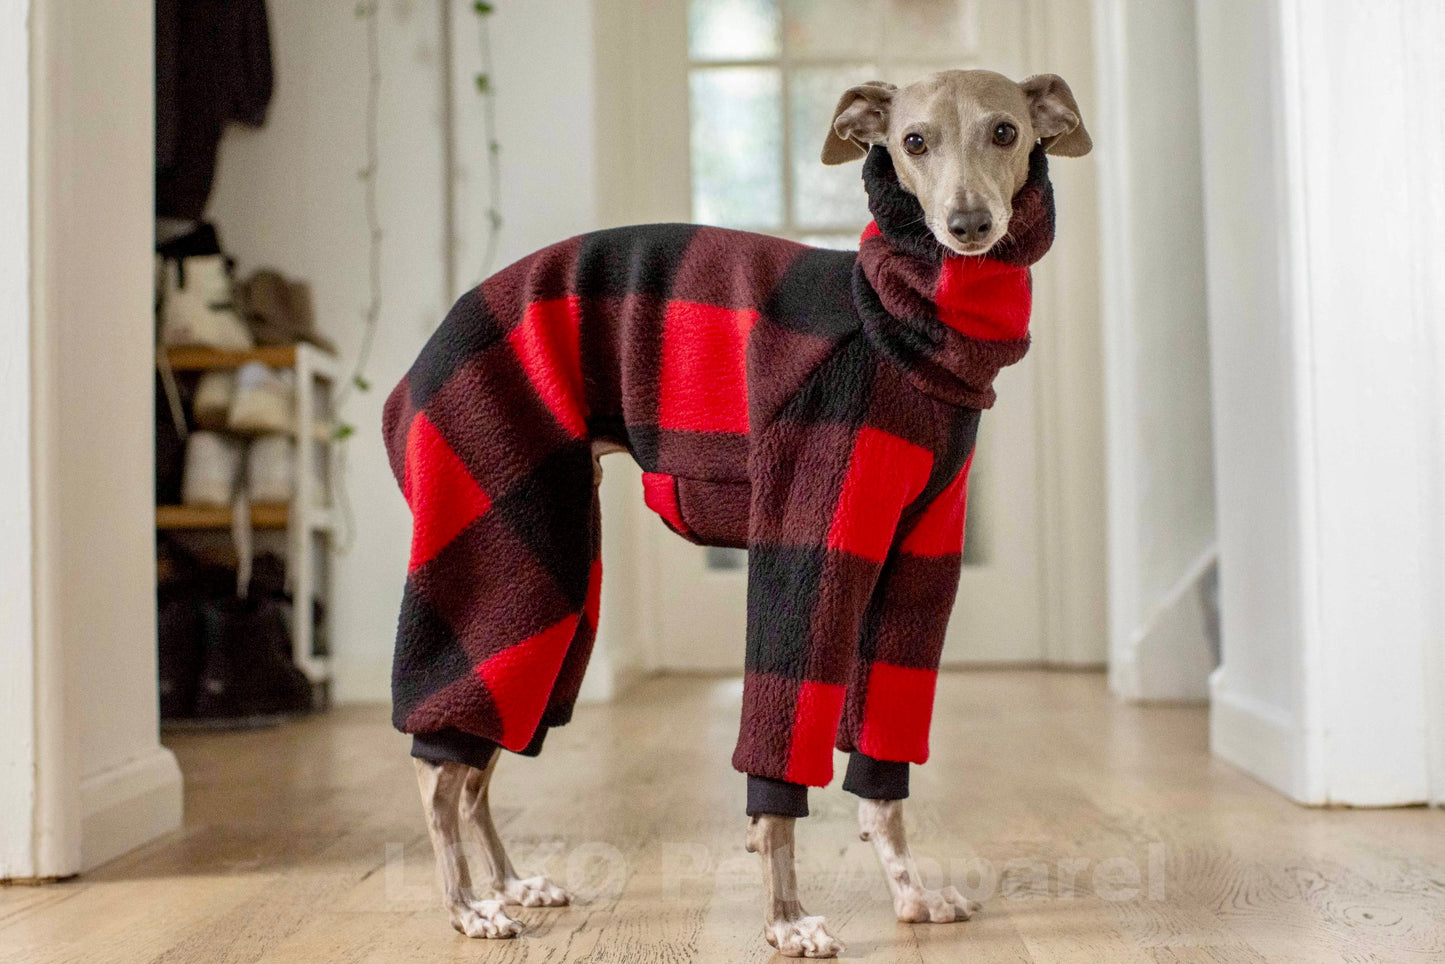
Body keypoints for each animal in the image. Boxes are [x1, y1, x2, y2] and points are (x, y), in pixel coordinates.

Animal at [378, 67, 1086, 959]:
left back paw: (512, 884)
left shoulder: (916, 562)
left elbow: (882, 772)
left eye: (1004, 131)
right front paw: (784, 918)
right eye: (913, 141)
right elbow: (780, 749)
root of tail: (414, 370)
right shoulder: (808, 532)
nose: (966, 225)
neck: (898, 326)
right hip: (504, 545)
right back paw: (467, 905)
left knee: (479, 765)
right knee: (439, 769)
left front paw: (910, 895)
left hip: (556, 591)